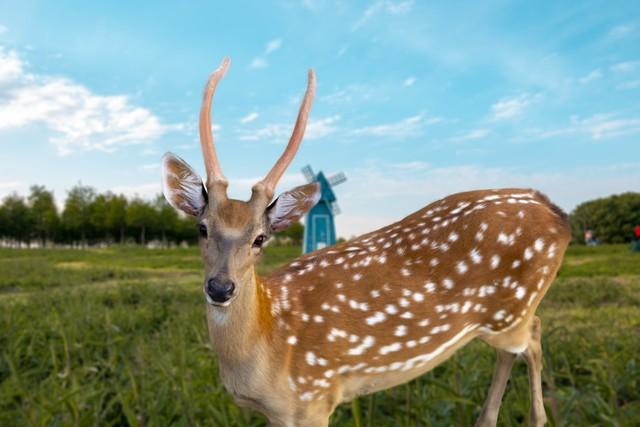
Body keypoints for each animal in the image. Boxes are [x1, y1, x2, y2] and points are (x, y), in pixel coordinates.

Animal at [160, 57, 568, 427]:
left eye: (260, 238)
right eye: (201, 228)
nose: (220, 287)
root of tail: (558, 214)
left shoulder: (312, 399)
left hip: (513, 311)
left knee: (534, 337)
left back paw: (537, 418)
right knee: (516, 348)